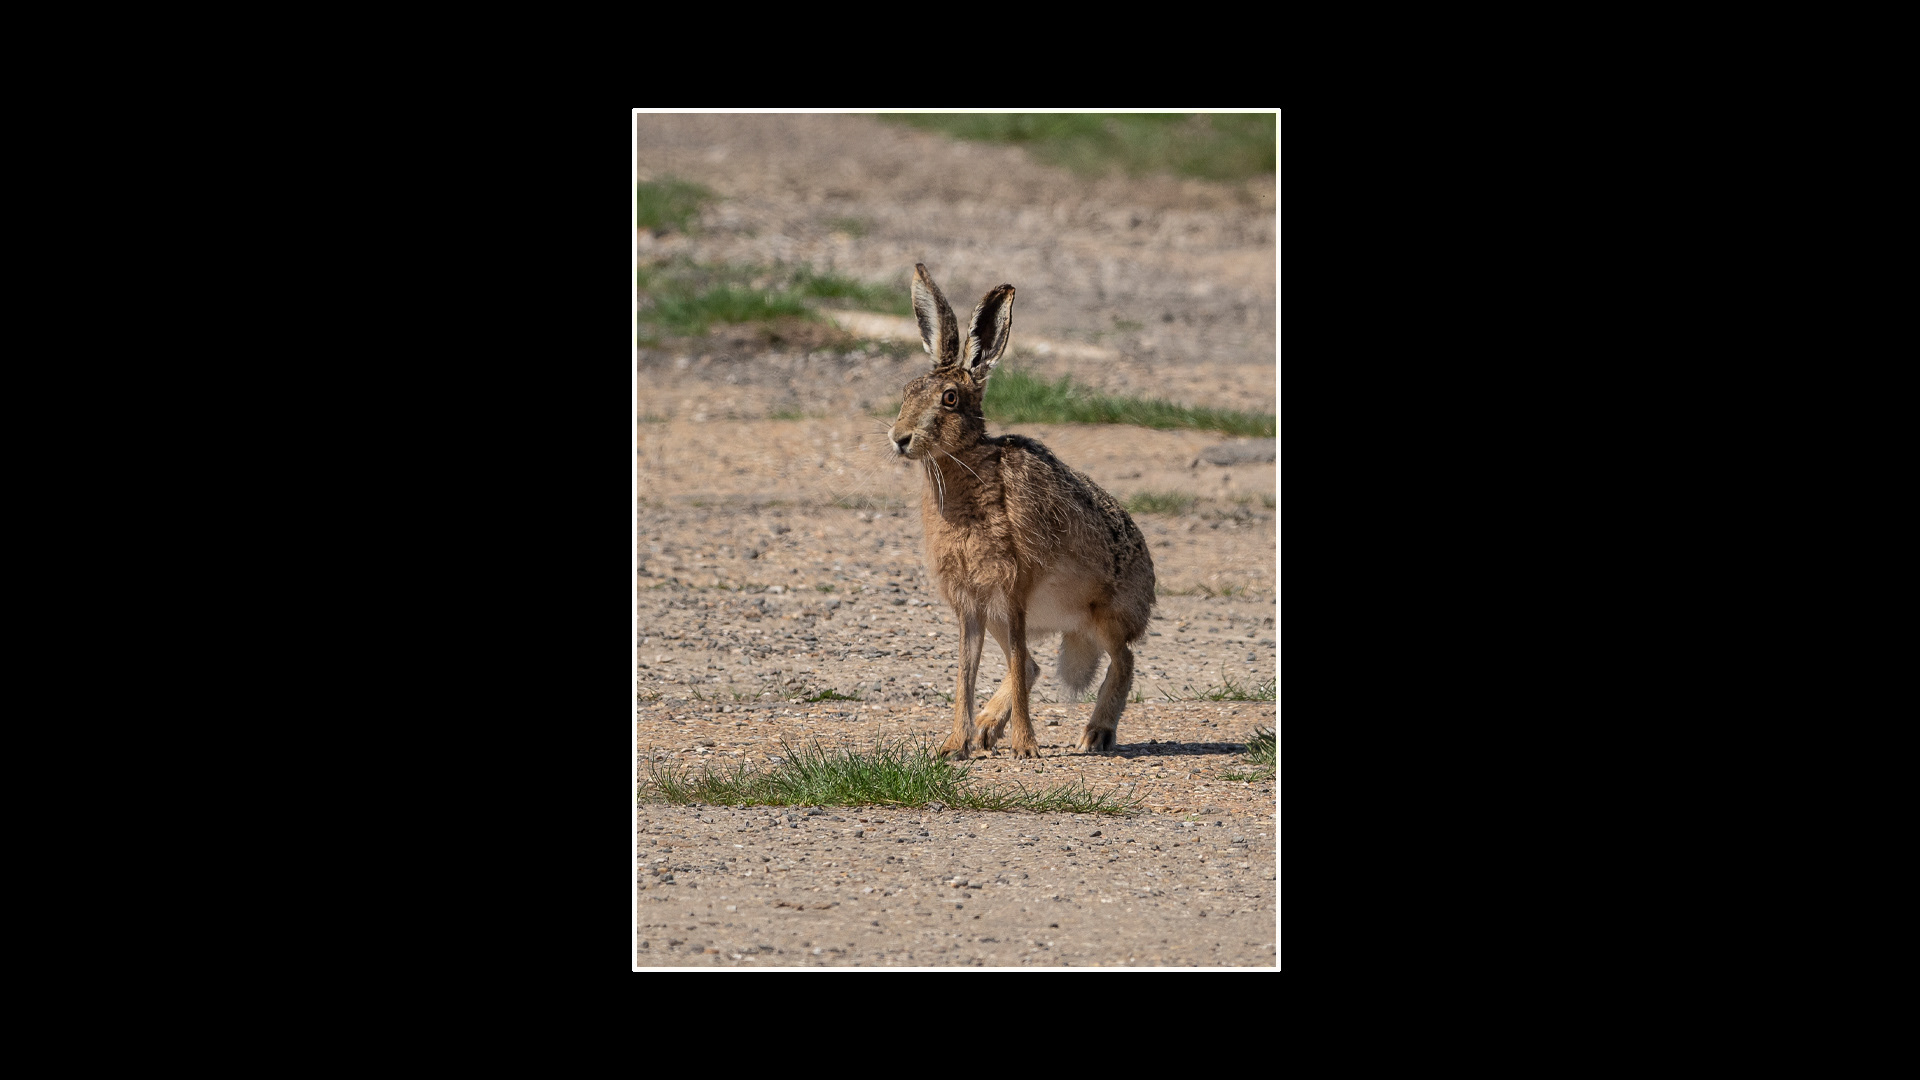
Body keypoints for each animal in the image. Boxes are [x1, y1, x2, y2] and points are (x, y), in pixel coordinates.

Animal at [888, 263, 1156, 759]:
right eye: (907, 391)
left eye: (949, 398)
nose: (899, 439)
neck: (966, 469)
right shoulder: (971, 602)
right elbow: (965, 672)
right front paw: (952, 747)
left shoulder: (1013, 589)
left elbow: (1008, 661)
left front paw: (1027, 749)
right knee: (1030, 665)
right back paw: (985, 729)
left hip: (1106, 614)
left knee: (1122, 658)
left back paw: (1095, 734)